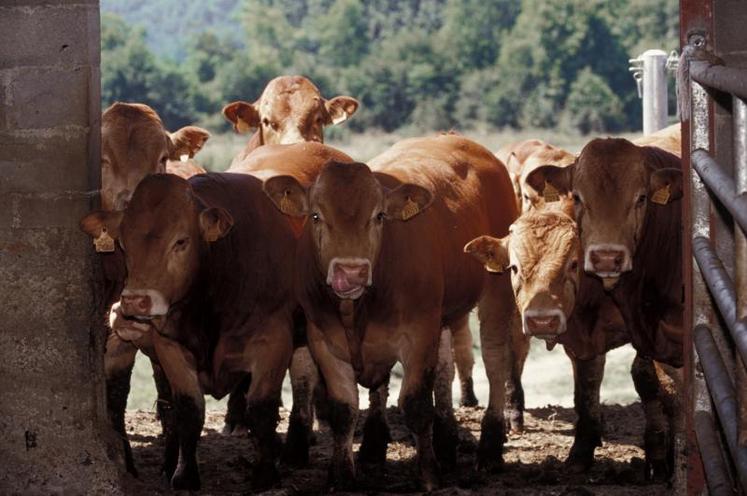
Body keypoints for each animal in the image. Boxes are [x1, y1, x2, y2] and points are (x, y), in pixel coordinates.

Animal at [82, 172, 298, 490]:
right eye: (123, 242)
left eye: (181, 241)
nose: (134, 302)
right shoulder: (170, 347)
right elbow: (188, 409)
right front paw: (184, 474)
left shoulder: (275, 343)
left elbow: (261, 409)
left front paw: (265, 476)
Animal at [264, 135, 520, 488]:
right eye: (315, 216)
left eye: (379, 216)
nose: (351, 272)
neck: (359, 308)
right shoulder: (323, 340)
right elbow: (344, 409)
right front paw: (343, 476)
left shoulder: (419, 334)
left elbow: (415, 405)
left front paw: (428, 474)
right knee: (445, 365)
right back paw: (441, 443)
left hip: (496, 289)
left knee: (495, 360)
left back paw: (490, 448)